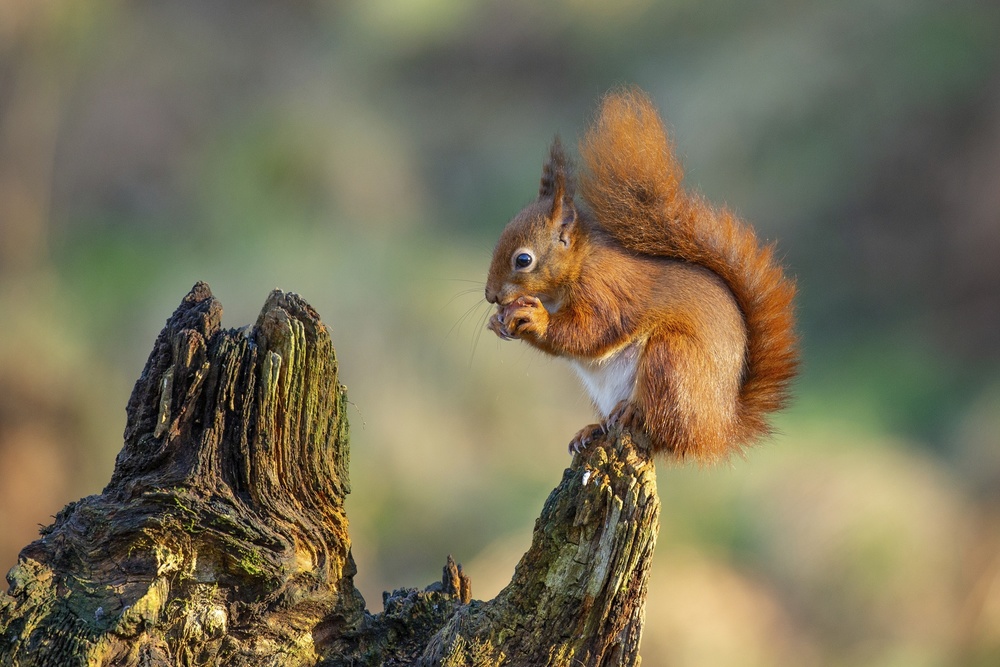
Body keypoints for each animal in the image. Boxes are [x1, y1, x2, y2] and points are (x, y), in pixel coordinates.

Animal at [484, 87, 796, 464]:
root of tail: (719, 430)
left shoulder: (607, 290)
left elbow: (591, 330)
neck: (579, 266)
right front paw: (497, 322)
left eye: (523, 260)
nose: (490, 295)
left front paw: (534, 318)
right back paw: (593, 429)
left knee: (663, 432)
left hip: (671, 361)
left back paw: (633, 412)